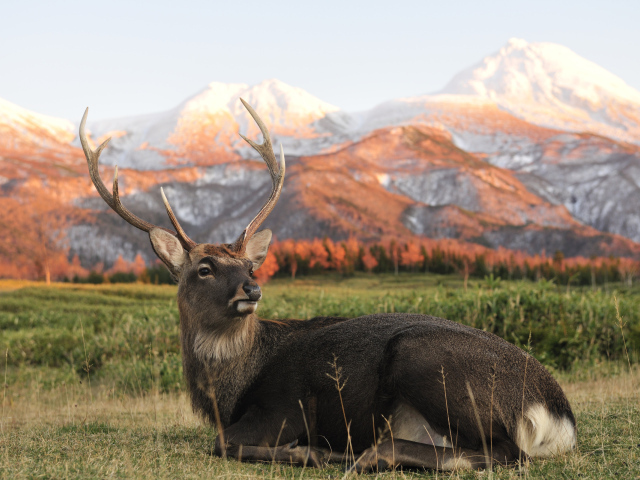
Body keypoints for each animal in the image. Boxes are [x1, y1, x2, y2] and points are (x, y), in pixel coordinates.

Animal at [79, 99, 576, 472]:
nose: (251, 291)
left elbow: (222, 443)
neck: (228, 391)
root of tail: (558, 415)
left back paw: (357, 454)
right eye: (204, 268)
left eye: (250, 266)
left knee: (505, 452)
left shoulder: (284, 407)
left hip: (425, 359)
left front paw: (308, 451)